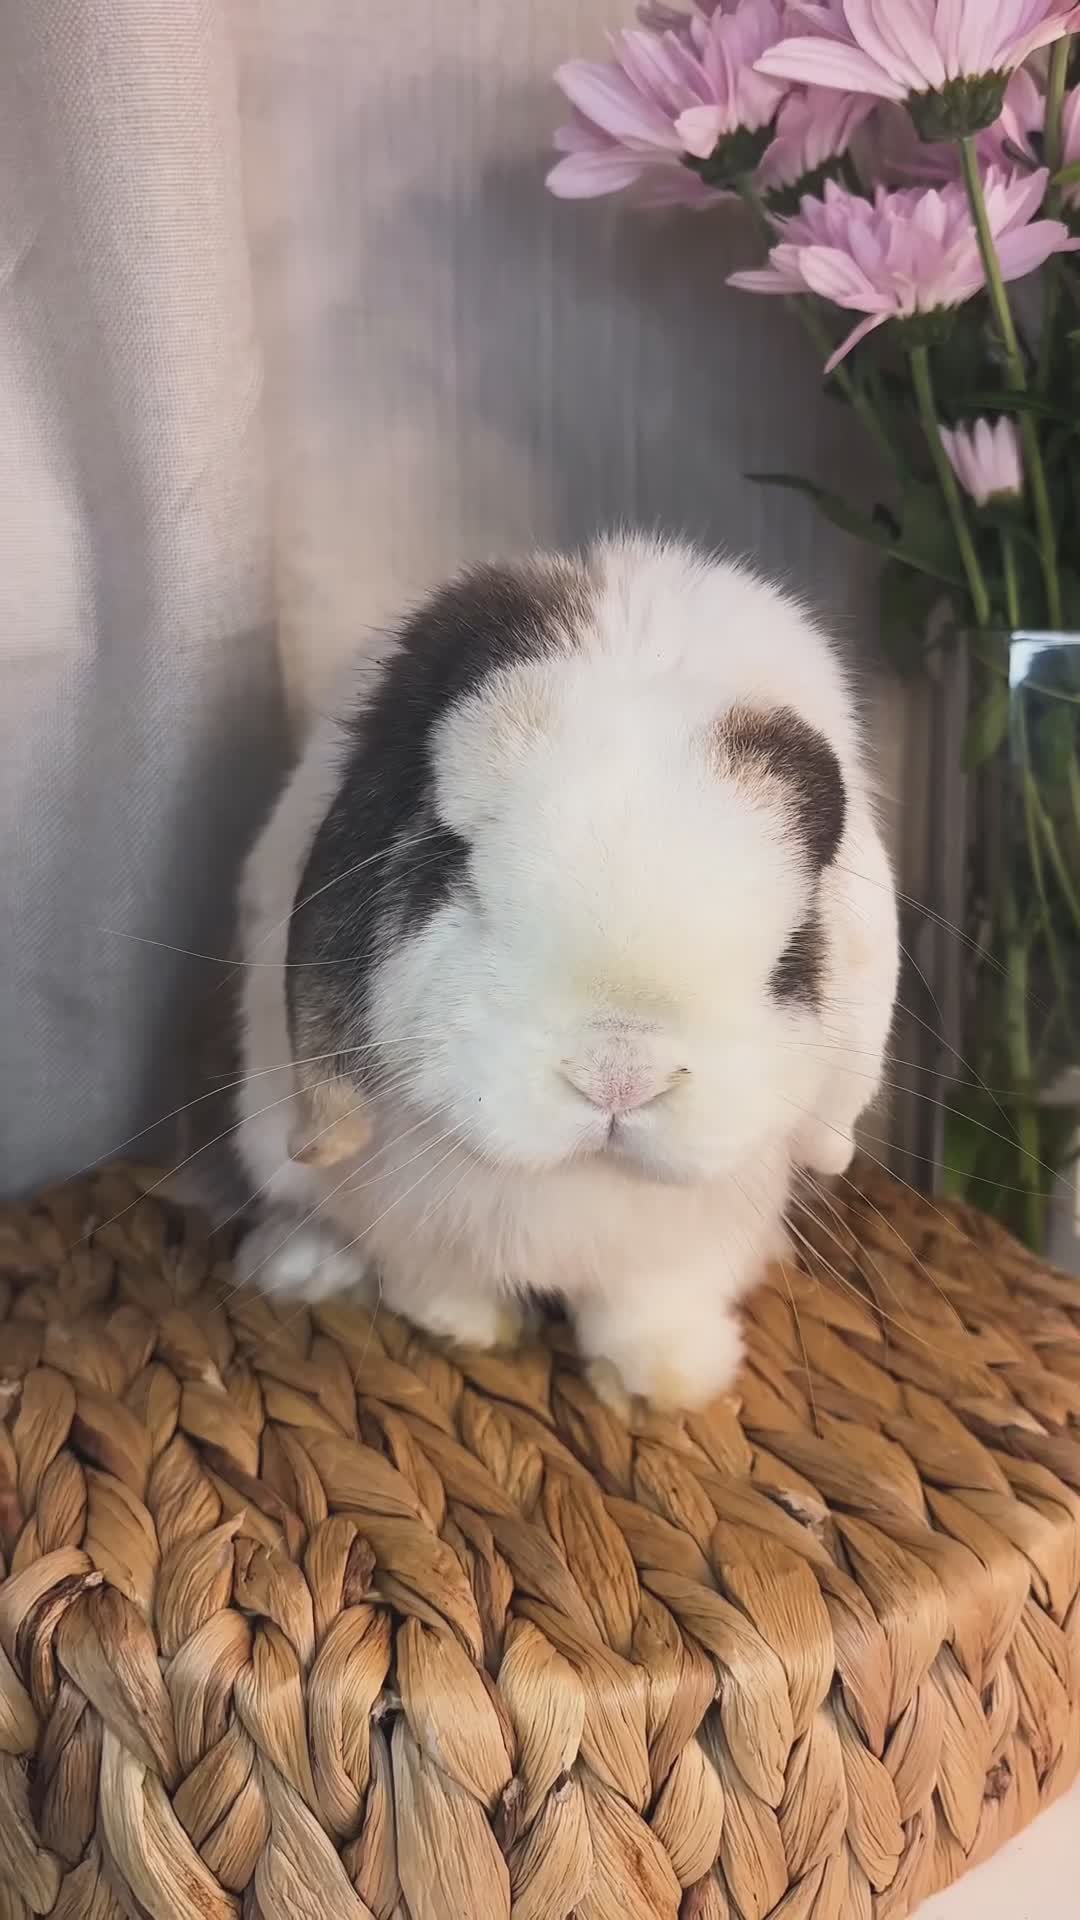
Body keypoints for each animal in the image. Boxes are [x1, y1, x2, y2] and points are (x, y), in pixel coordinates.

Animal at [233, 533, 898, 1412]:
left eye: (795, 946)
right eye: (450, 860)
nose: (619, 1077)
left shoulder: (689, 1244)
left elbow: (654, 1300)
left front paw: (666, 1381)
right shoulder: (406, 1215)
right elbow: (427, 1271)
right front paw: (469, 1326)